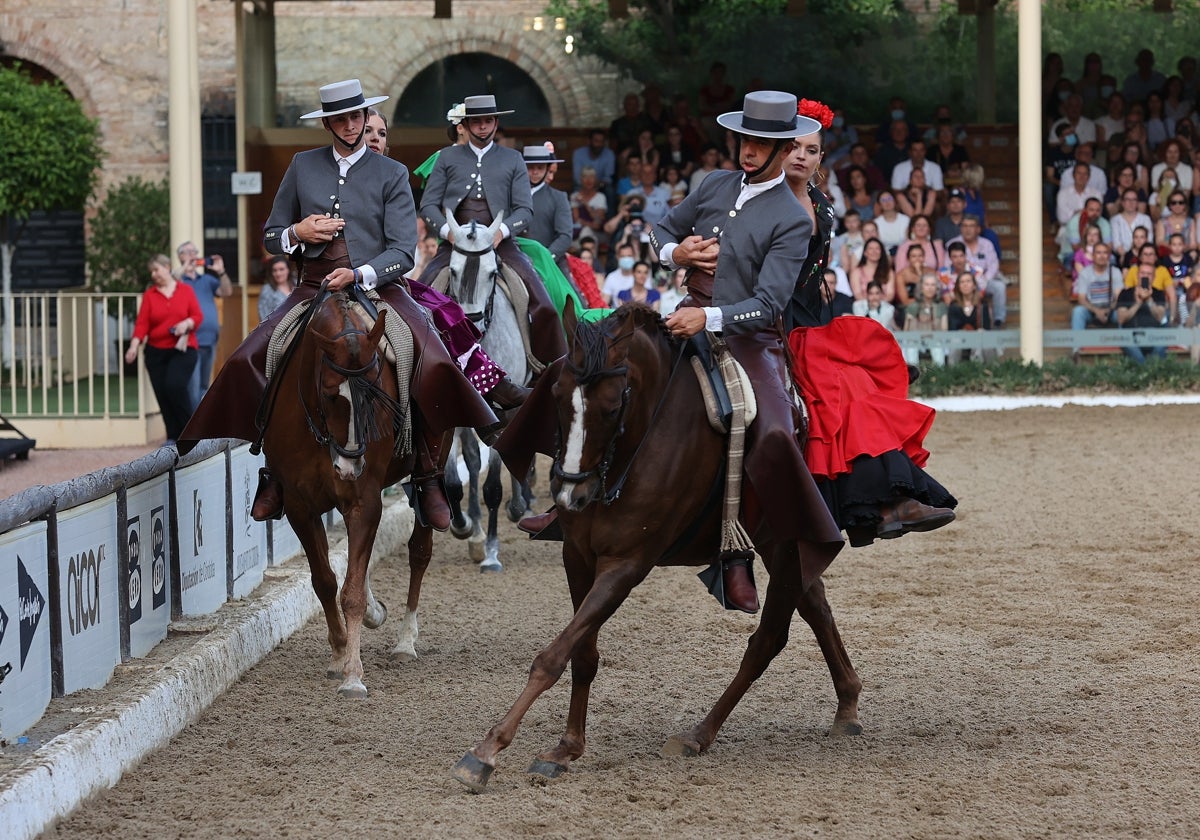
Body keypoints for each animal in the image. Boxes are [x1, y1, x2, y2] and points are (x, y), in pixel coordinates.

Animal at [261, 289, 432, 696]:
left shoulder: (363, 500)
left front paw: (353, 674)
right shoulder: (300, 505)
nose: (351, 467)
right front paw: (340, 653)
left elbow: (350, 591)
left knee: (419, 550)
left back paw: (405, 641)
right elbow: (325, 580)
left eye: (375, 394)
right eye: (330, 396)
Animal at [441, 208, 535, 571]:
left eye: (492, 272)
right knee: (470, 458)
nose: (470, 323)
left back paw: (519, 507)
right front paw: (464, 527)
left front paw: (492, 552)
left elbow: (493, 485)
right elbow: (453, 480)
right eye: (453, 270)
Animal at [451, 303, 864, 792]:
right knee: (815, 602)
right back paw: (847, 705)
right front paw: (566, 748)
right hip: (780, 547)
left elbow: (553, 656)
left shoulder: (627, 564)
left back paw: (698, 734)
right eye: (555, 394)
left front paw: (486, 751)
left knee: (768, 639)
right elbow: (581, 652)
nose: (571, 494)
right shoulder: (578, 557)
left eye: (613, 406)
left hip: (783, 544)